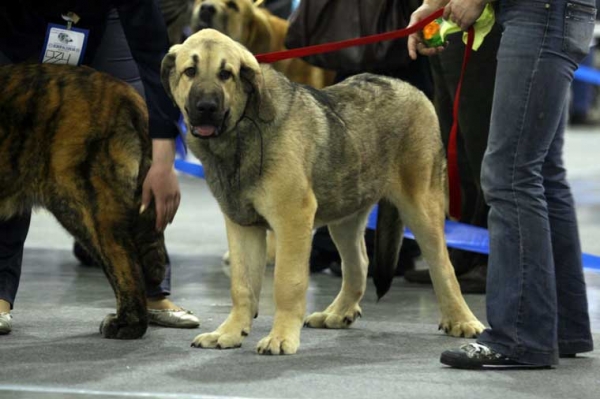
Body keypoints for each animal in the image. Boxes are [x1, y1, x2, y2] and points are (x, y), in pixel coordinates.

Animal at [162, 30, 486, 356]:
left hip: (421, 205)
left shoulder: (293, 220)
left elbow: (287, 282)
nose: (206, 106)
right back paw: (339, 312)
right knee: (358, 263)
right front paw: (229, 332)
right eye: (190, 71)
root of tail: (412, 89)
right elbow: (242, 285)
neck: (242, 130)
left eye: (226, 74)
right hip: (345, 215)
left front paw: (281, 336)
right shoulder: (243, 225)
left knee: (442, 266)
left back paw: (461, 319)